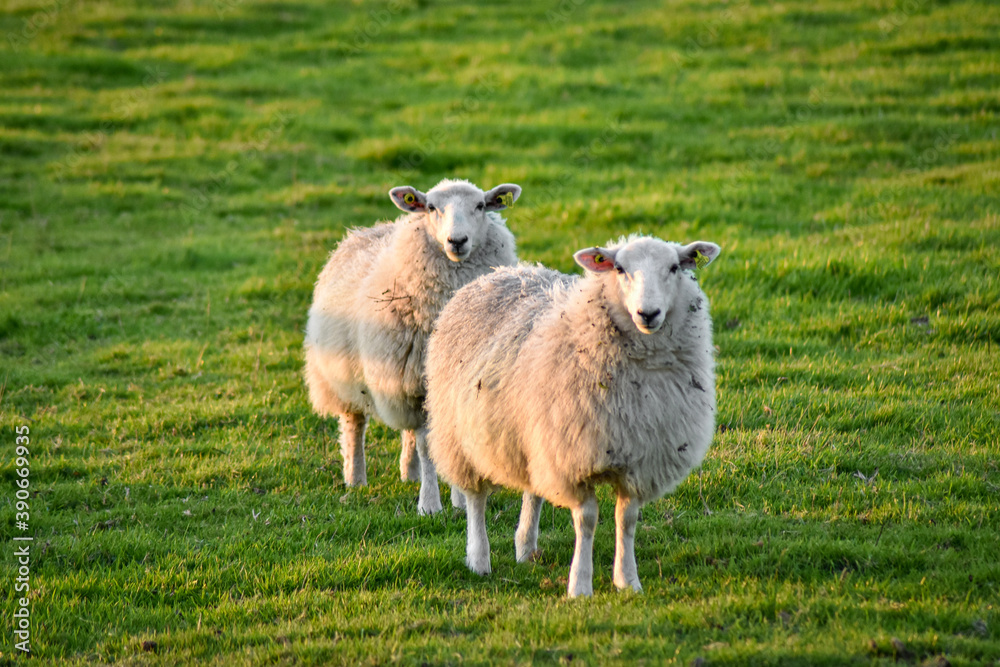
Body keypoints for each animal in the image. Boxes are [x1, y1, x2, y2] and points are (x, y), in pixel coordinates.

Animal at [303, 179, 521, 515]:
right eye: (430, 207)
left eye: (481, 206)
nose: (457, 241)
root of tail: (362, 231)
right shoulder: (414, 388)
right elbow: (427, 445)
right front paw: (430, 505)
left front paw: (458, 499)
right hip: (344, 376)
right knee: (355, 424)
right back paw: (355, 479)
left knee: (407, 435)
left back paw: (410, 473)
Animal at [425, 235, 721, 596]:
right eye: (619, 269)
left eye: (675, 267)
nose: (648, 313)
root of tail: (502, 272)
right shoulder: (573, 459)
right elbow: (587, 520)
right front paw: (580, 584)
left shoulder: (638, 459)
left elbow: (627, 519)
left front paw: (628, 580)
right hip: (459, 434)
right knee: (475, 498)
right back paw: (479, 559)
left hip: (534, 436)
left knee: (532, 489)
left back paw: (526, 547)